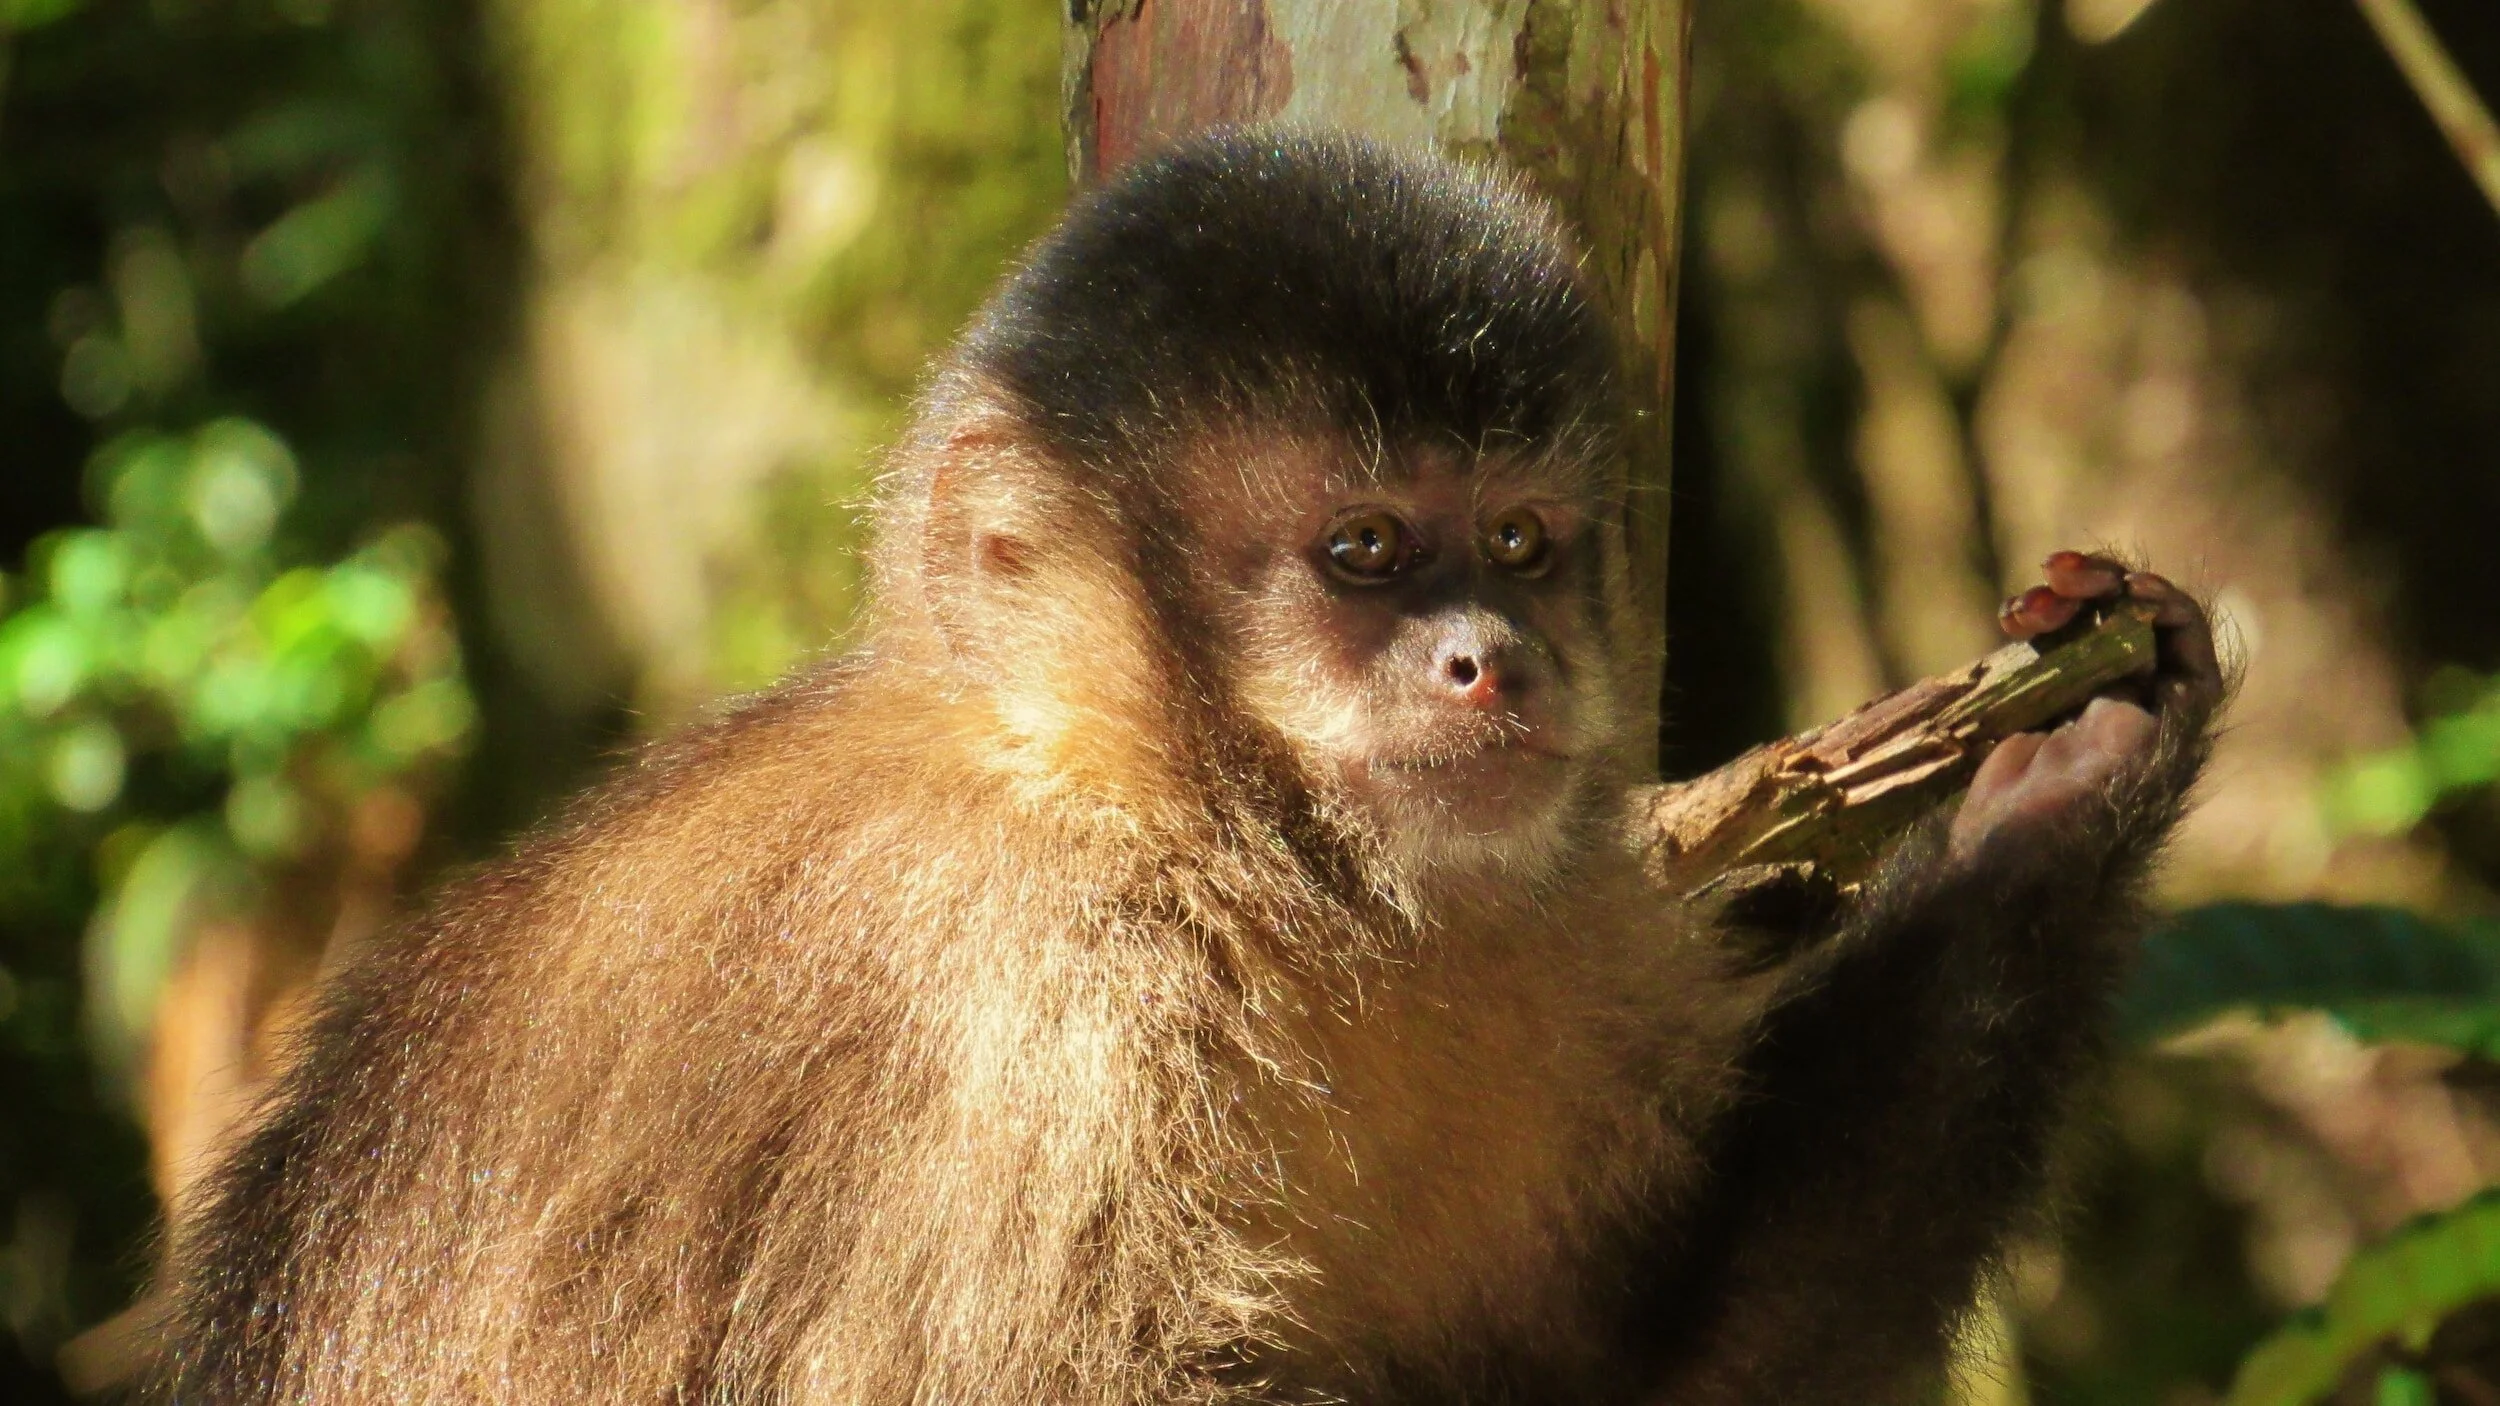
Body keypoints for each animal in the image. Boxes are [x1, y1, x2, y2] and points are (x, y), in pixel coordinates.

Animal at [149, 130, 2222, 1405]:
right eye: (1366, 553)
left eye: (1524, 543)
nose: (1495, 659)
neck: (1205, 843)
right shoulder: (1016, 1004)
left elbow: (1664, 1370)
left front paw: (2072, 785)